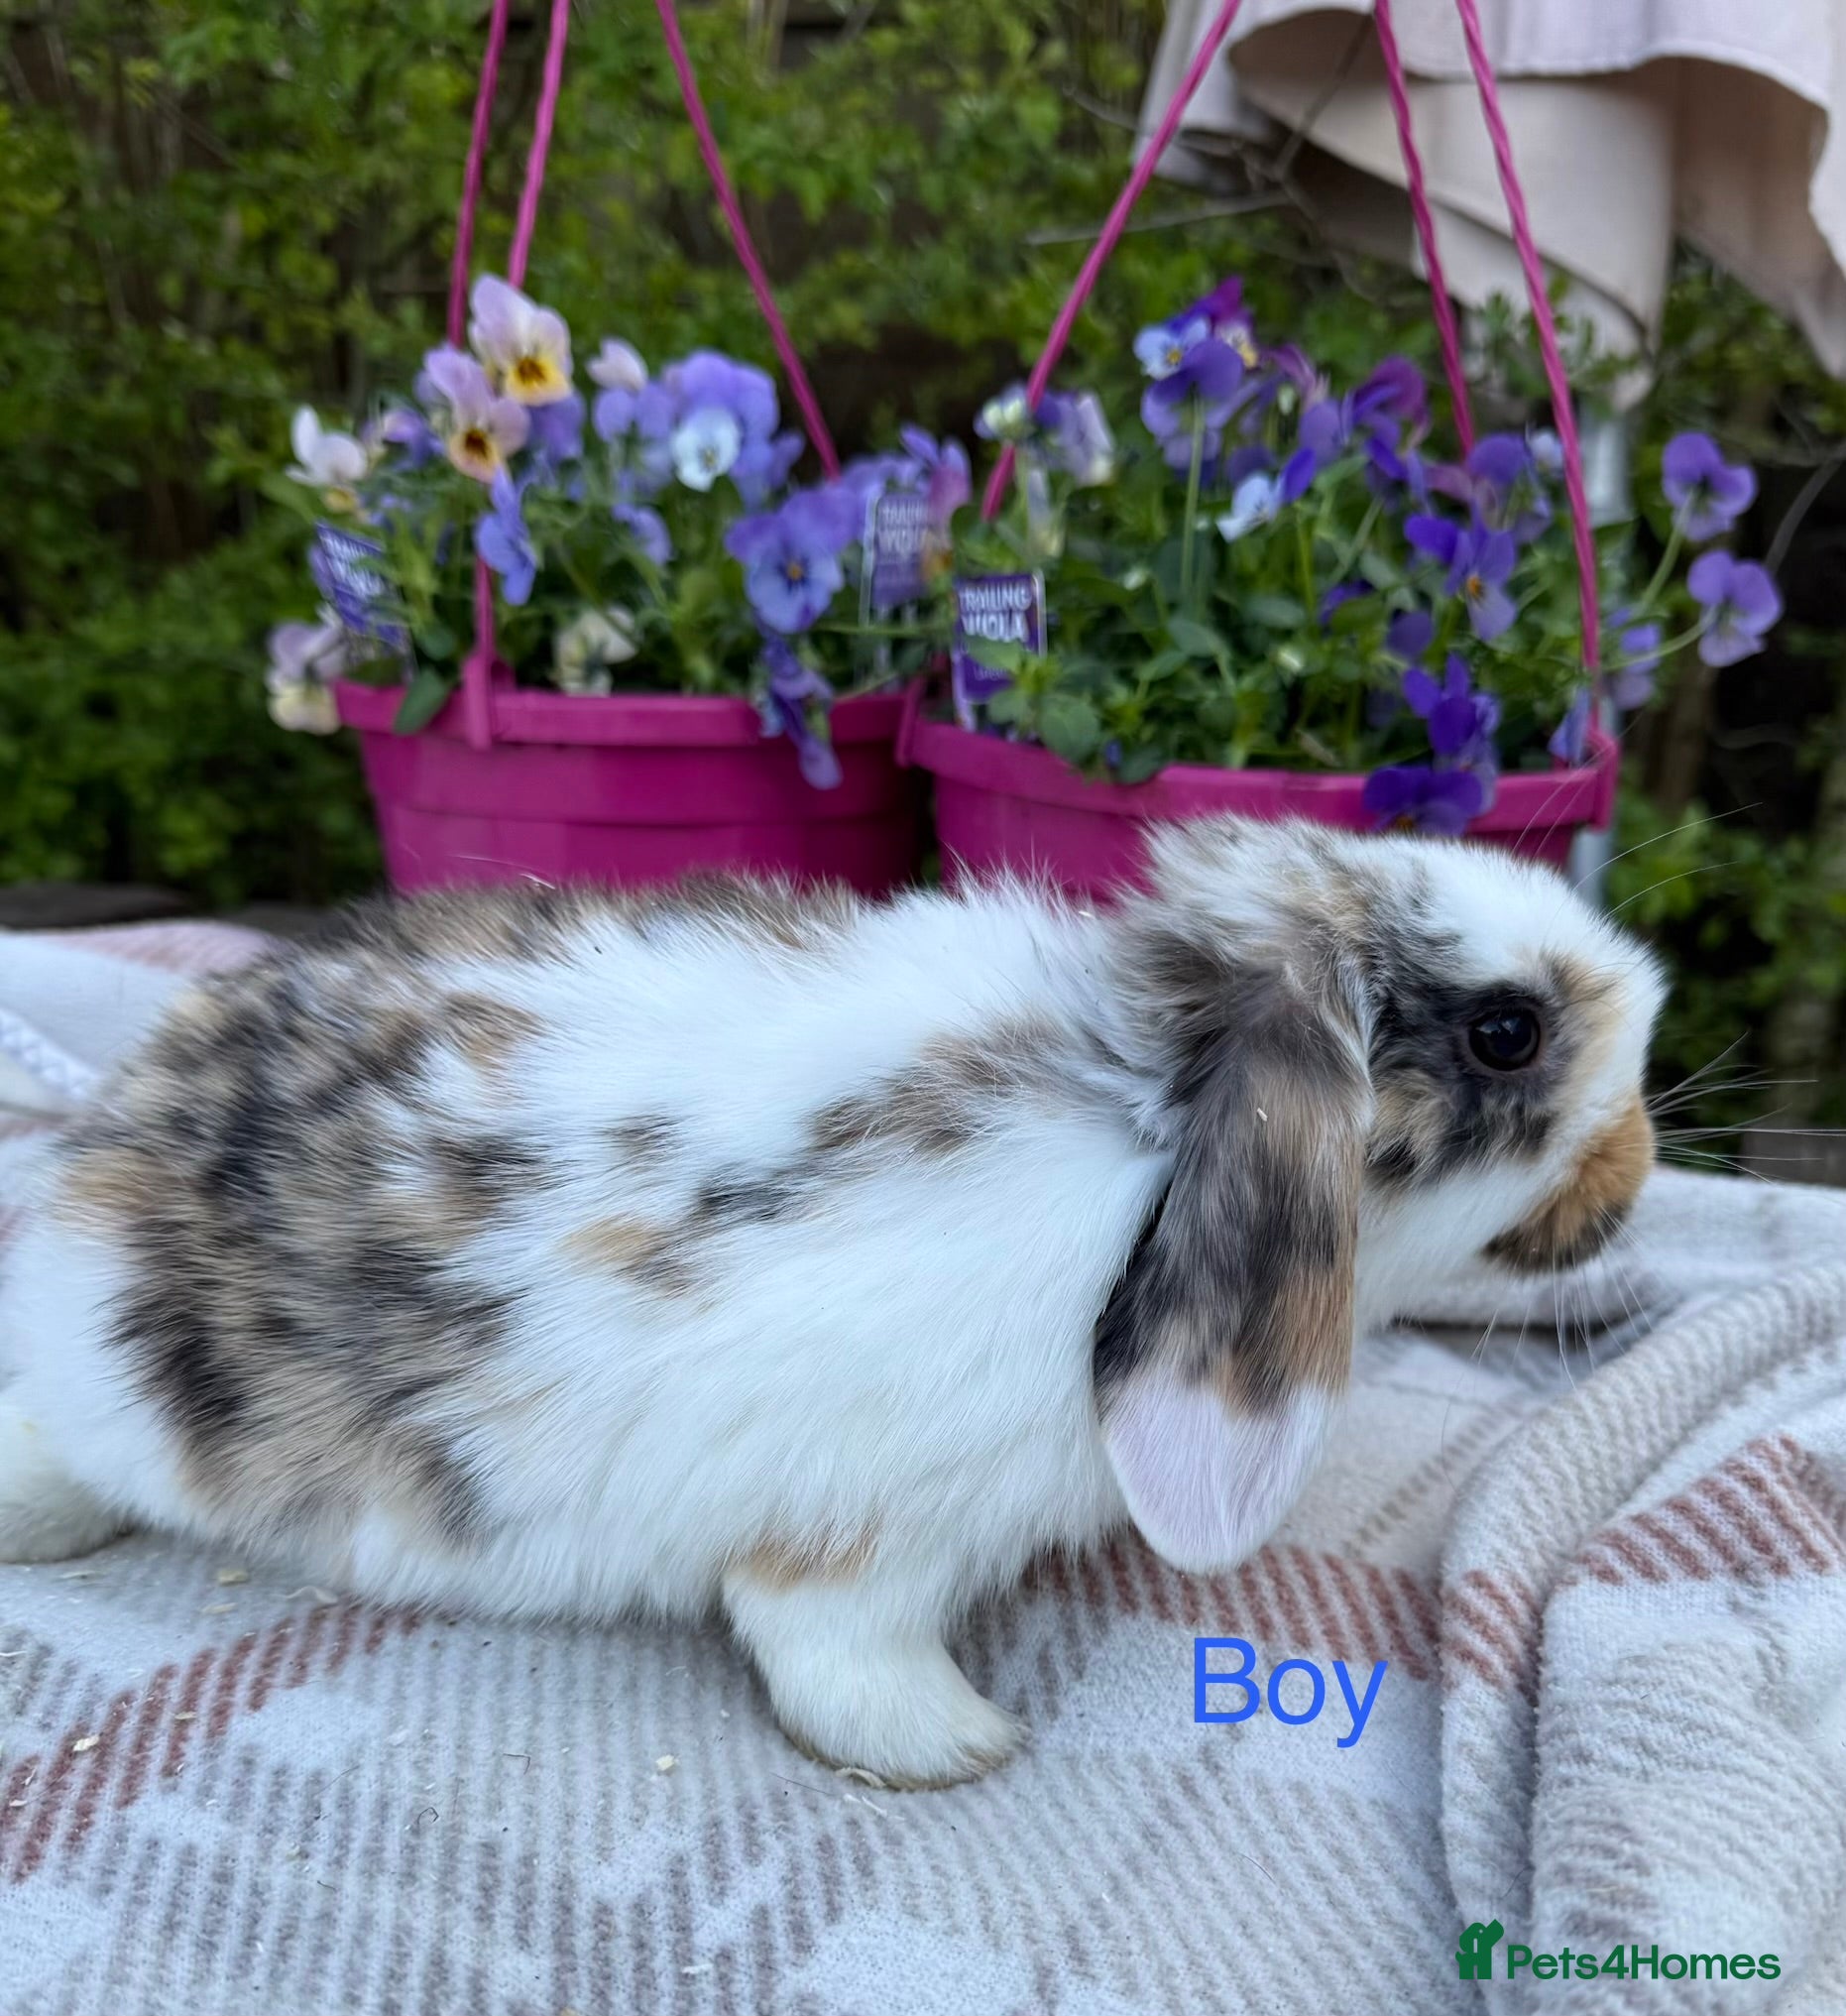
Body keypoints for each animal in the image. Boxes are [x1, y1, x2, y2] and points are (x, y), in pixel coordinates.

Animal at [0, 816, 1664, 1787]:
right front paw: (951, 1746)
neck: (1140, 1127)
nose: (1641, 1165)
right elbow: (827, 1643)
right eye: (1507, 1033)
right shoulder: (861, 1531)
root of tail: (104, 1146)